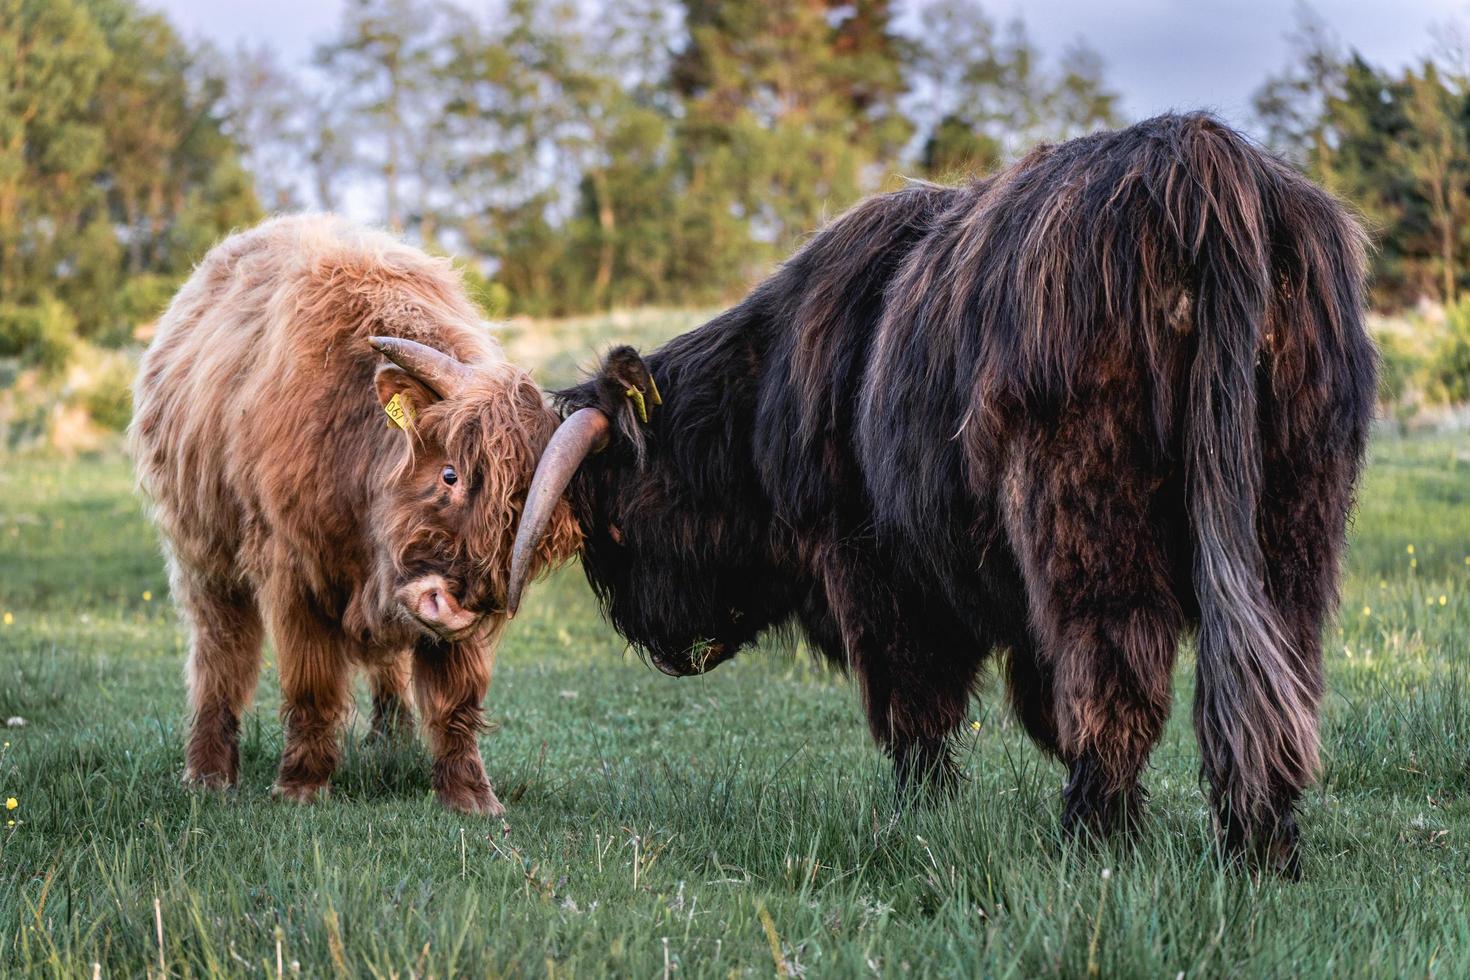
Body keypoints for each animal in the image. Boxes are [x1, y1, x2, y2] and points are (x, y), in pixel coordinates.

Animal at [130, 218, 579, 816]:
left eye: (529, 521)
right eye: (450, 475)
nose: (450, 604)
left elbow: (456, 700)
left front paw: (470, 797)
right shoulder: (294, 573)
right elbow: (312, 684)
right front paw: (300, 786)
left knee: (387, 665)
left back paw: (392, 743)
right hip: (203, 556)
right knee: (221, 652)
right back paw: (208, 773)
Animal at [508, 115, 1375, 875]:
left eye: (613, 523)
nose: (659, 645)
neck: (762, 394)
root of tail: (1203, 161)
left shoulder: (873, 569)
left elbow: (915, 704)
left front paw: (923, 809)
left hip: (1088, 514)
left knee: (1117, 672)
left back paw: (1095, 837)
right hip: (1292, 519)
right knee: (1276, 676)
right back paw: (1263, 845)